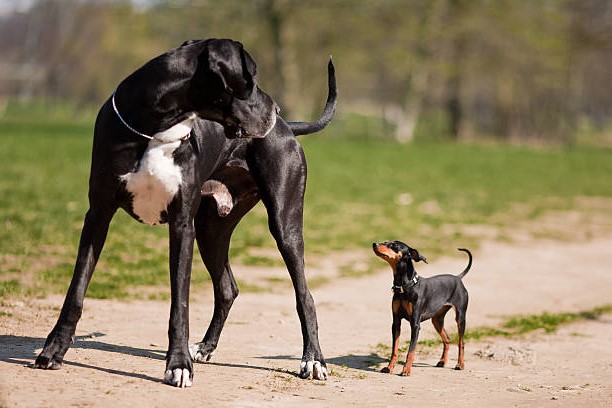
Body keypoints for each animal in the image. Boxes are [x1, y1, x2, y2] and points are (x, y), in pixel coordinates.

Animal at [34, 37, 334, 386]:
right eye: (253, 77)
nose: (276, 111)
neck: (154, 131)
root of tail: (289, 129)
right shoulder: (98, 215)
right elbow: (76, 291)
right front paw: (53, 351)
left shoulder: (181, 224)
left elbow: (180, 302)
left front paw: (177, 364)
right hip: (210, 229)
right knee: (227, 288)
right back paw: (205, 347)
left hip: (283, 225)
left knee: (305, 295)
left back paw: (313, 359)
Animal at [370, 239, 470, 376]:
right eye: (385, 242)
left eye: (394, 245)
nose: (374, 244)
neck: (405, 286)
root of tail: (458, 278)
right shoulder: (396, 323)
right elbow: (394, 350)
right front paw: (389, 367)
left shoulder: (415, 324)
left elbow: (411, 350)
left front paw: (406, 369)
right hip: (437, 320)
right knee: (447, 339)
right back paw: (442, 361)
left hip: (460, 317)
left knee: (461, 342)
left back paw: (460, 364)